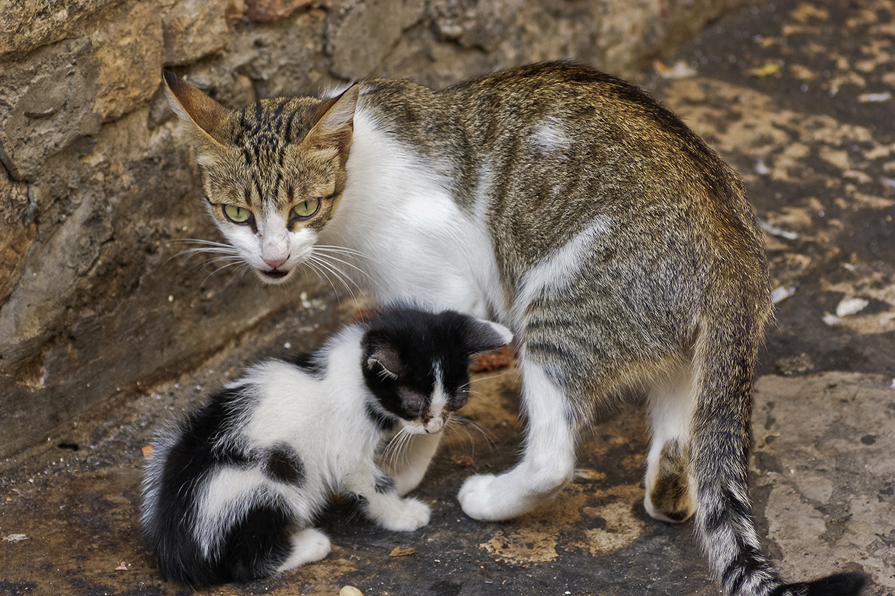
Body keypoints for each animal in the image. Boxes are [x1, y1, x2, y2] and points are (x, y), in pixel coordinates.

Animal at [142, 304, 512, 584]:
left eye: (458, 399)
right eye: (413, 403)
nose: (435, 425)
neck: (354, 378)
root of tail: (177, 546)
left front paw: (402, 478)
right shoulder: (346, 449)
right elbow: (370, 483)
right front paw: (402, 514)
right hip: (266, 482)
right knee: (245, 562)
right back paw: (312, 544)